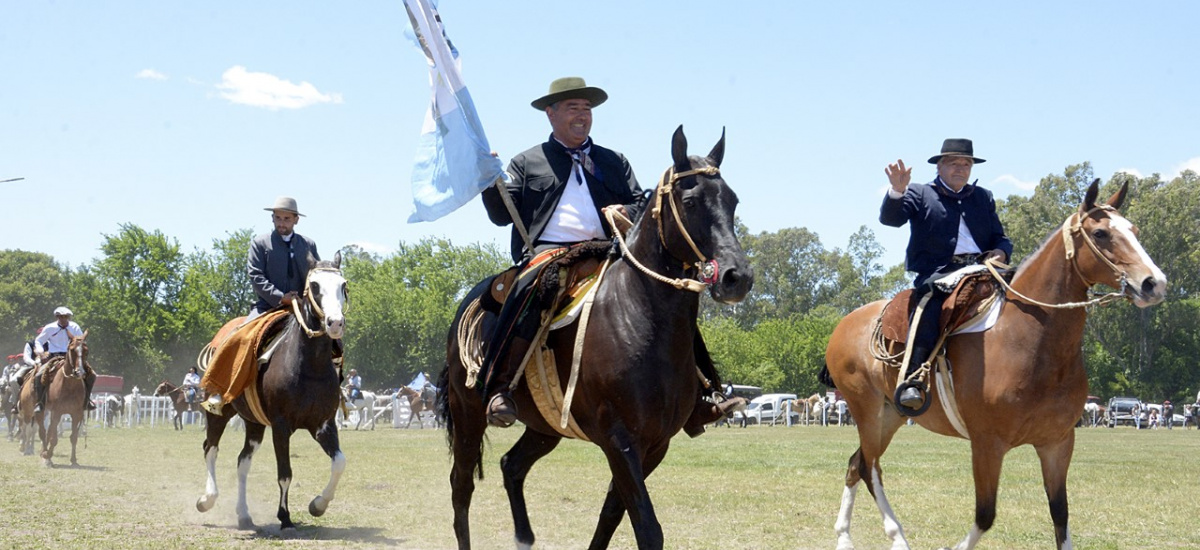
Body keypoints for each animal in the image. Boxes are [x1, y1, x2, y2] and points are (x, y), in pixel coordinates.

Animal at [194, 252, 350, 528]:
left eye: (343, 286)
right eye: (315, 285)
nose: (335, 323)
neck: (309, 366)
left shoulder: (323, 424)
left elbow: (339, 462)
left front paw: (318, 505)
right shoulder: (281, 426)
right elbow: (285, 473)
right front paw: (285, 517)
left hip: (254, 424)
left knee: (242, 462)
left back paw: (244, 514)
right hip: (217, 413)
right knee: (210, 449)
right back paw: (207, 499)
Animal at [436, 126, 753, 550]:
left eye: (731, 200)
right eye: (690, 200)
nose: (737, 277)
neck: (638, 316)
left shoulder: (655, 445)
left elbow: (613, 514)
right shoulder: (620, 440)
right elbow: (646, 526)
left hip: (544, 427)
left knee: (511, 466)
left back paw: (525, 536)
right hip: (468, 413)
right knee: (461, 486)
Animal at [820, 180, 1166, 550]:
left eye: (1134, 230)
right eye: (1101, 233)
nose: (1154, 282)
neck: (1028, 339)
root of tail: (844, 324)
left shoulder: (1057, 443)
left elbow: (1060, 514)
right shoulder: (987, 444)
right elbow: (985, 515)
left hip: (891, 415)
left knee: (857, 464)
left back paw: (845, 536)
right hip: (867, 411)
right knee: (870, 468)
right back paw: (895, 536)